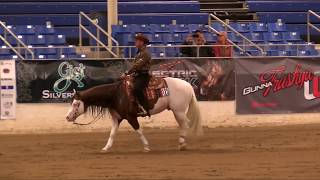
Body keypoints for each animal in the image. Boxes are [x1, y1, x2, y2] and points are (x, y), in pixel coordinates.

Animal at [65, 76, 202, 152]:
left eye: (76, 104)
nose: (67, 117)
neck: (116, 95)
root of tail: (188, 85)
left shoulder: (131, 117)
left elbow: (139, 131)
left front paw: (146, 147)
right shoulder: (117, 118)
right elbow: (112, 134)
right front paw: (106, 148)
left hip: (179, 111)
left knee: (185, 124)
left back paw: (182, 144)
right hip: (177, 111)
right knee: (183, 124)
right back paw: (181, 143)